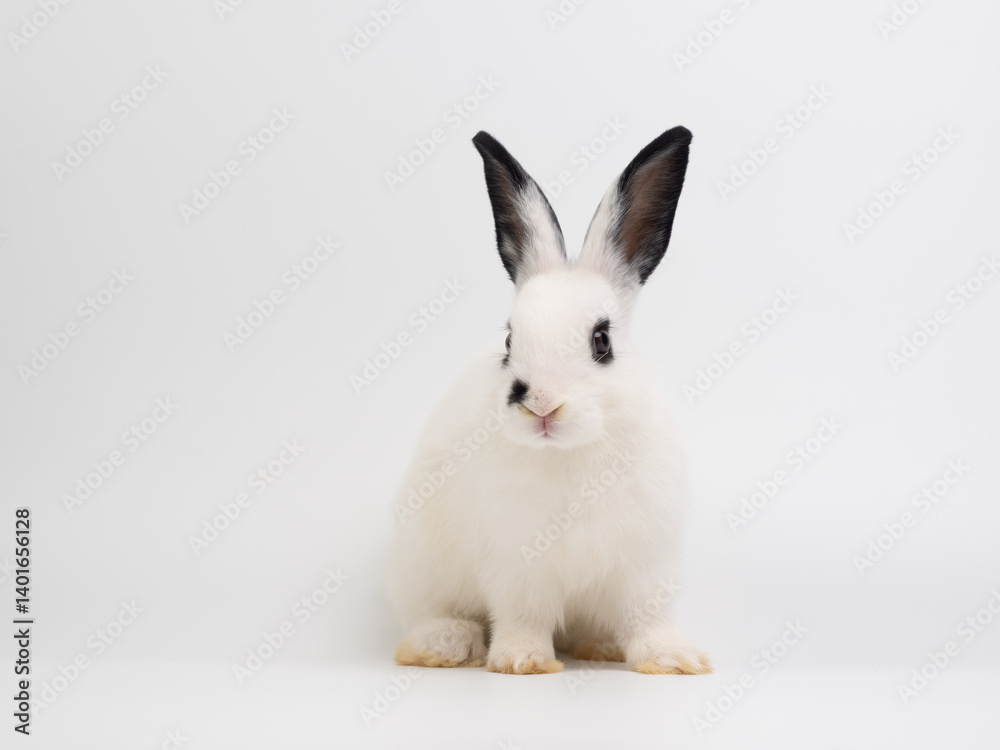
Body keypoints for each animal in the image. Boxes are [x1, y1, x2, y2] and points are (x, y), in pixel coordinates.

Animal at [387, 126, 711, 675]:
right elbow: (523, 615)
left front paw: (672, 660)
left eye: (601, 341)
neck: (571, 454)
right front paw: (524, 662)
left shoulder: (644, 565)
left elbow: (647, 618)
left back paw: (599, 647)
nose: (540, 404)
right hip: (424, 569)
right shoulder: (517, 565)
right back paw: (442, 646)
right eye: (509, 341)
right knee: (436, 613)